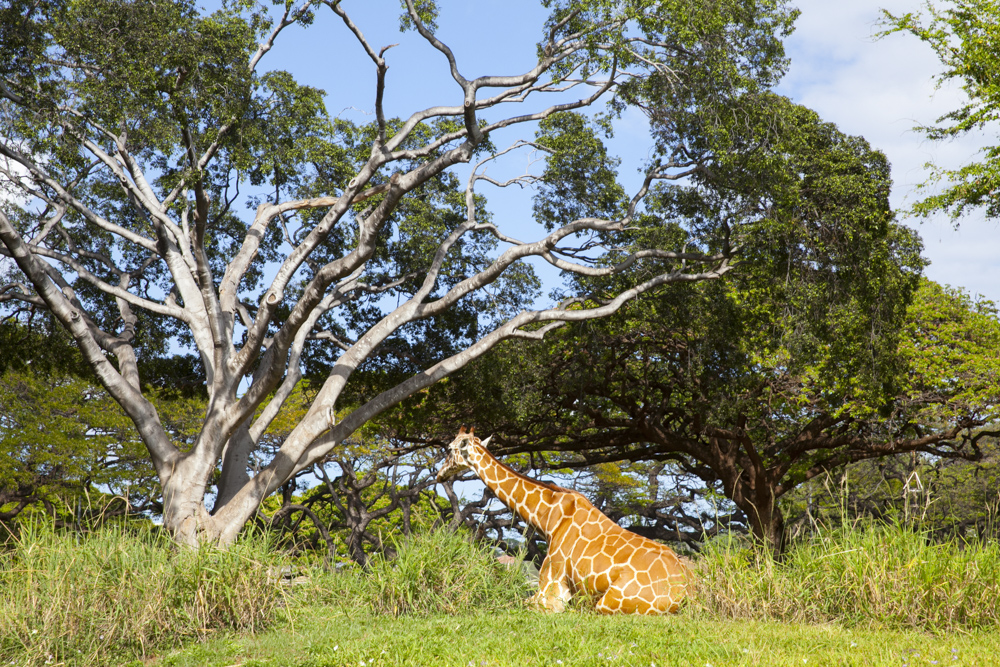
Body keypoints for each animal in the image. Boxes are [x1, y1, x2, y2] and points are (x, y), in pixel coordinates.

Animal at [442, 428, 692, 616]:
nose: (439, 474)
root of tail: (687, 593)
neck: (549, 519)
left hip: (608, 603)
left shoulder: (550, 591)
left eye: (450, 449)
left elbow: (507, 603)